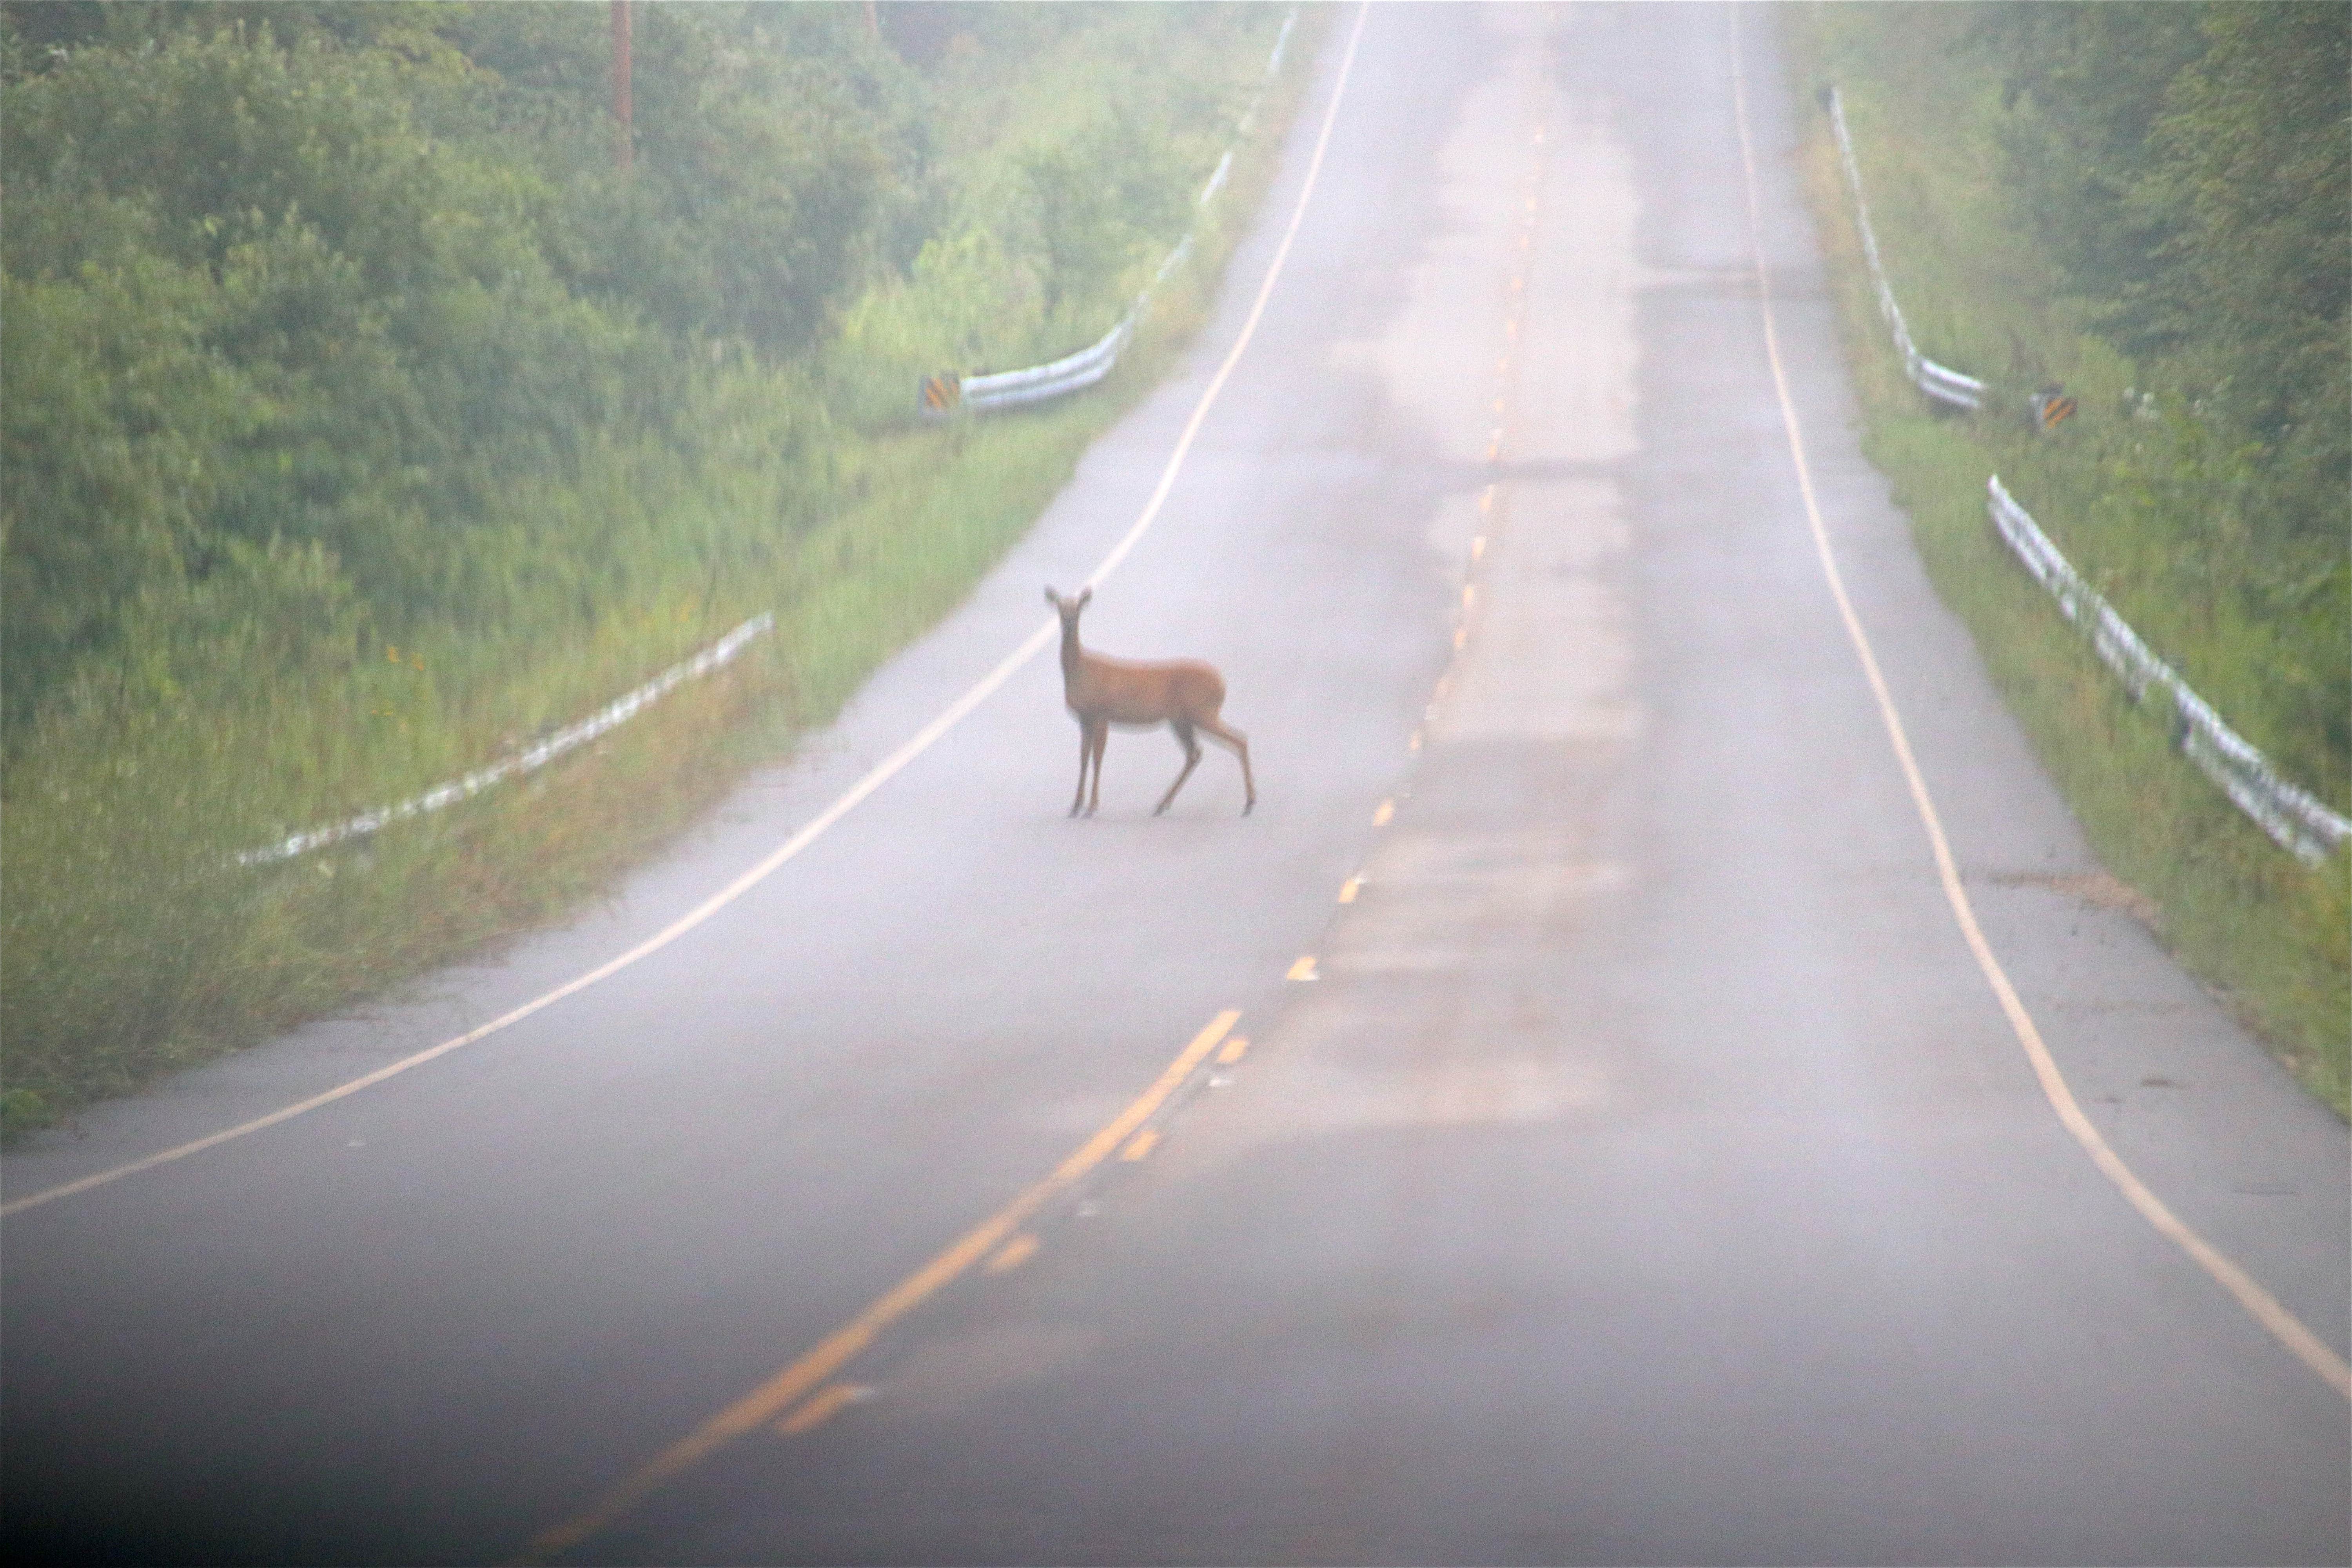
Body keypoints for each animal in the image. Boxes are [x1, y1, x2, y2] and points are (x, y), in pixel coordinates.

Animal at [1054, 588, 1261, 822]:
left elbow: (1097, 759)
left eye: (1079, 607)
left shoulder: (1101, 713)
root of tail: (1222, 683)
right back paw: (1163, 804)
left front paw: (1091, 808)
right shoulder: (1084, 717)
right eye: (1059, 607)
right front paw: (1075, 807)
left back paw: (1249, 803)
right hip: (1182, 720)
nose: (1069, 622)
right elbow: (1083, 759)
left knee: (1238, 740)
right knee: (1196, 753)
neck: (1081, 671)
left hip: (1203, 712)